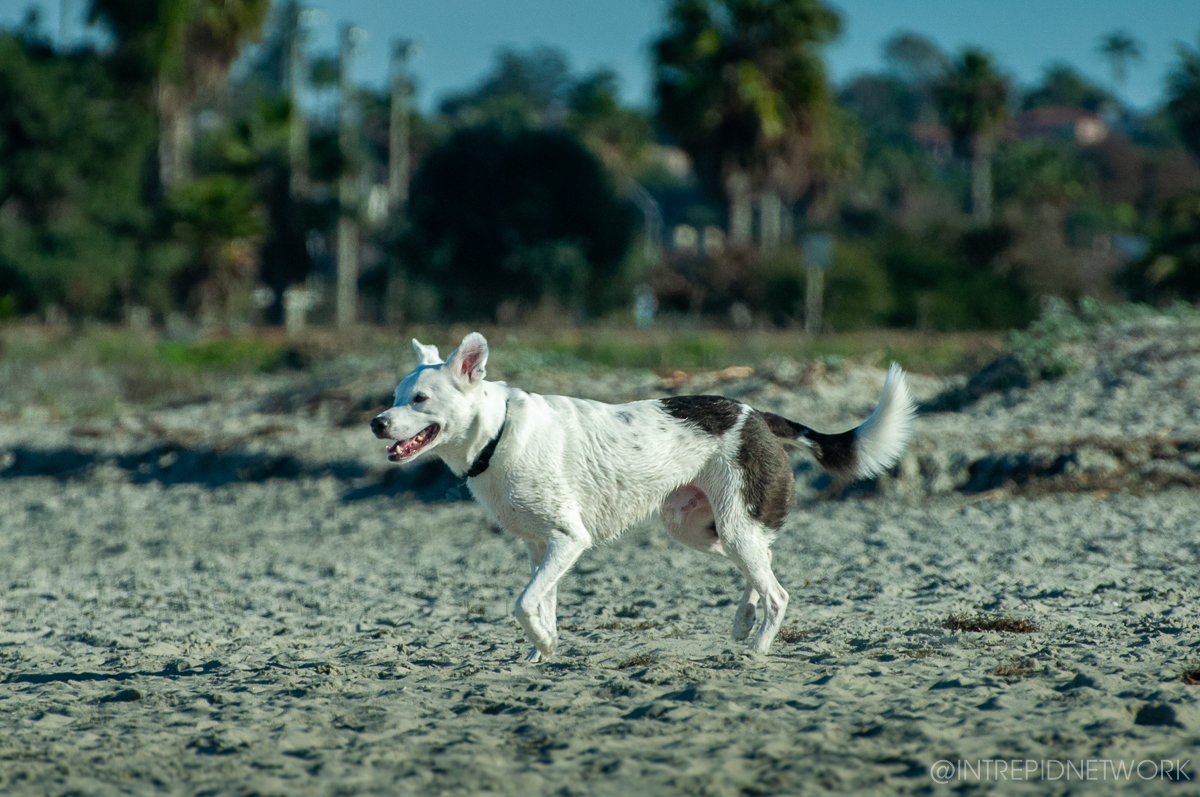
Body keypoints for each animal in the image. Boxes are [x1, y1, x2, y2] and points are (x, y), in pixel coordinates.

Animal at [369, 333, 912, 662]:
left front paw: (542, 643)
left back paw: (756, 649)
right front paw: (541, 653)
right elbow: (542, 603)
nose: (376, 422)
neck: (499, 433)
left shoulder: (569, 540)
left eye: (420, 399)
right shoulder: (540, 547)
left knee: (777, 593)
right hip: (702, 529)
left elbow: (524, 605)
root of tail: (758, 414)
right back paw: (742, 622)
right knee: (761, 570)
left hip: (734, 524)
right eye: (395, 396)